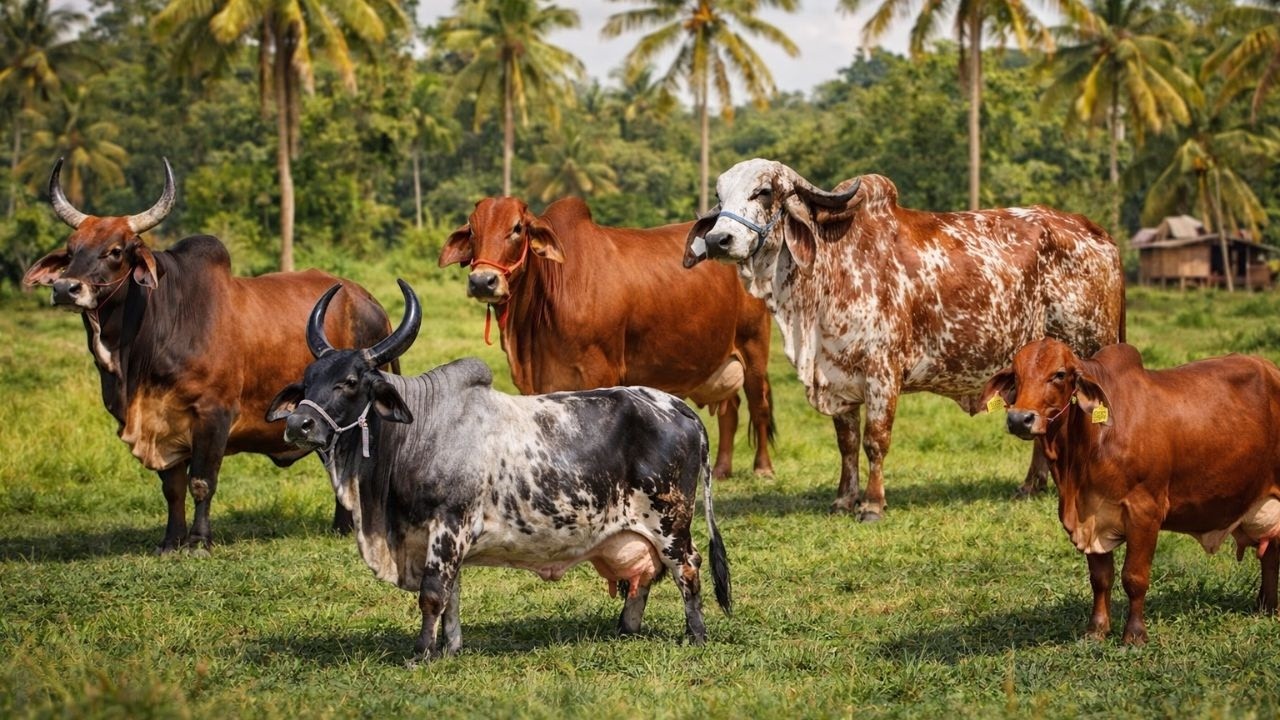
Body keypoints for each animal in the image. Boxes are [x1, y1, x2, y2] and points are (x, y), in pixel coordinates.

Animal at [22, 158, 395, 553]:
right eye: (71, 248)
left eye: (116, 250)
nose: (66, 288)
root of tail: (369, 300)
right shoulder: (162, 423)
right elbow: (172, 488)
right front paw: (172, 540)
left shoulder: (214, 415)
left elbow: (202, 482)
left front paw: (199, 540)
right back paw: (341, 526)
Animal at [266, 280, 732, 663]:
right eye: (307, 380)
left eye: (350, 381)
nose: (299, 424)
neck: (417, 430)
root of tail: (680, 407)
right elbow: (451, 595)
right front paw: (449, 648)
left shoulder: (449, 525)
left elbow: (432, 595)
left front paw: (421, 653)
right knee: (647, 574)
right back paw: (626, 628)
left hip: (670, 522)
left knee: (687, 567)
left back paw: (695, 635)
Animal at [438, 195, 776, 479]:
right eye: (472, 230)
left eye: (517, 228)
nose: (483, 281)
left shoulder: (601, 371)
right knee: (730, 409)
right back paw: (721, 470)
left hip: (754, 347)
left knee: (758, 404)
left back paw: (763, 469)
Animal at [684, 159, 1124, 521]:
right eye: (720, 196)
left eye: (763, 191)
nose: (718, 240)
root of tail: (1095, 232)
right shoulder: (838, 377)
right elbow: (847, 443)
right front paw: (844, 499)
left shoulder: (882, 374)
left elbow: (875, 441)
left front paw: (872, 504)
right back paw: (1031, 485)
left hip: (1089, 349)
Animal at [979, 339, 1280, 645]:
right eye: (1016, 376)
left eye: (1059, 374)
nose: (1020, 419)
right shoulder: (1091, 514)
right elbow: (1101, 579)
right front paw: (1096, 630)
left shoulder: (1144, 512)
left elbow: (1134, 578)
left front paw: (1134, 635)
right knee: (1271, 553)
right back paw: (1266, 608)